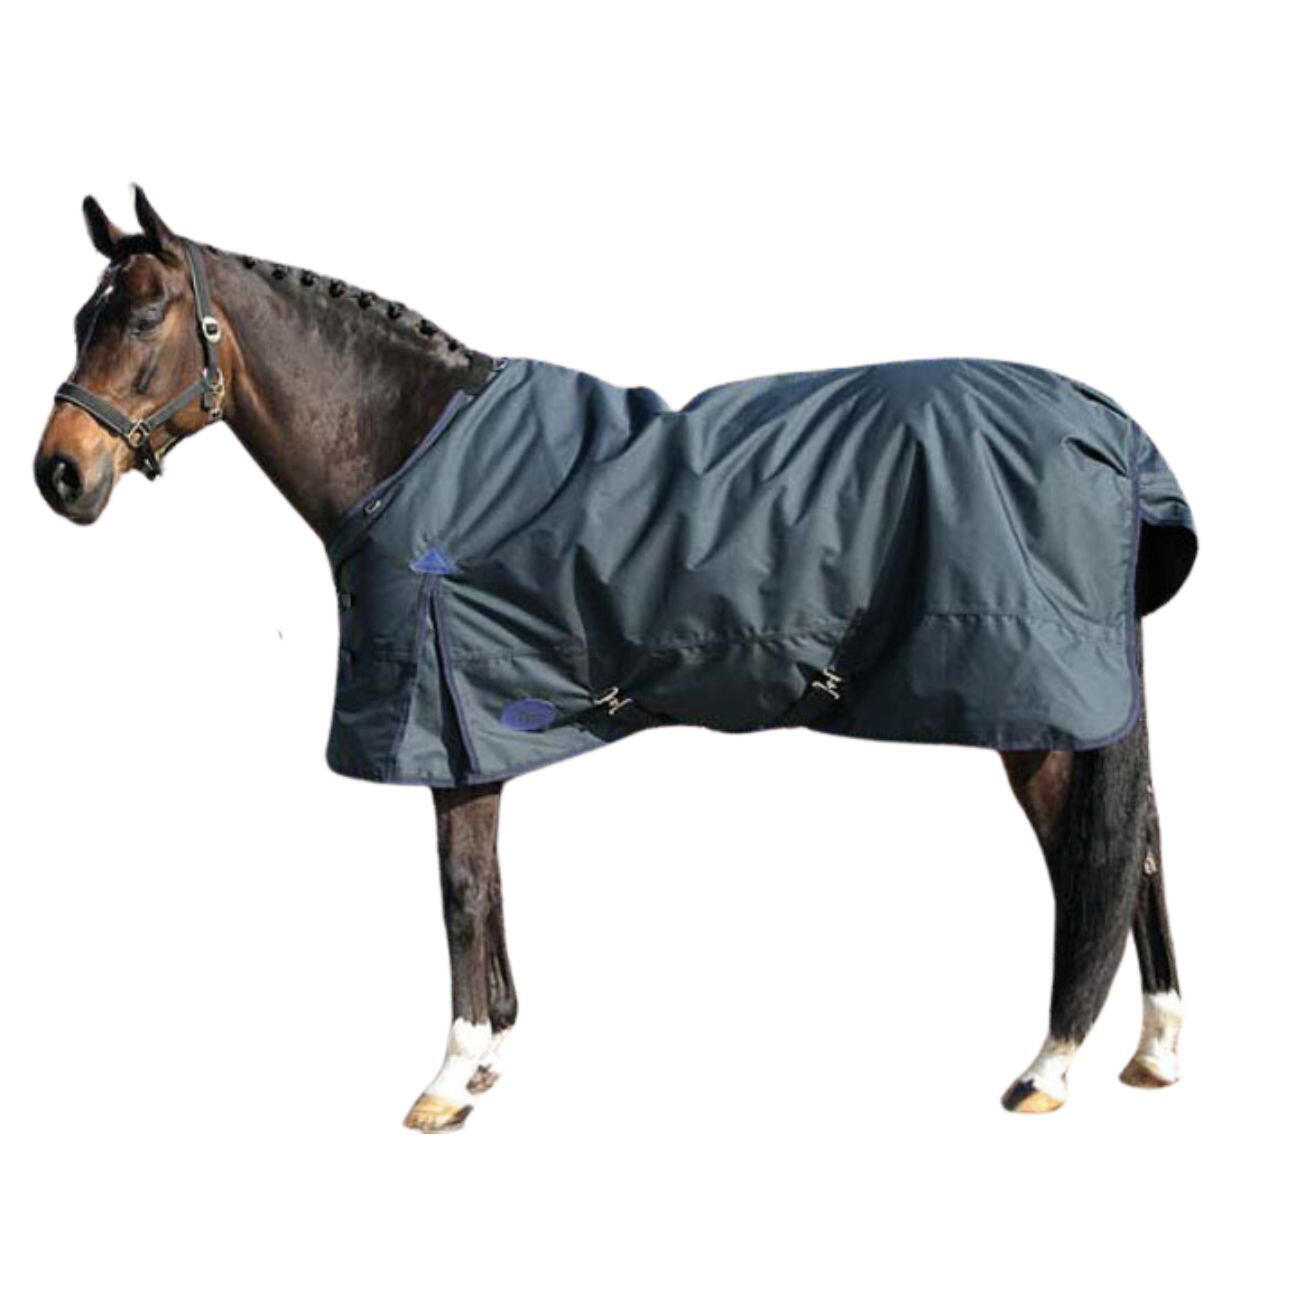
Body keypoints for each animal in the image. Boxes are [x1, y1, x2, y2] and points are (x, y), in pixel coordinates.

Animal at [34, 188, 1194, 1132]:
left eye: (142, 315)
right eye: (82, 317)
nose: (59, 474)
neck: (410, 447)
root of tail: (1108, 429)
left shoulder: (442, 724)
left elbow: (460, 894)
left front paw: (447, 1080)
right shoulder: (479, 736)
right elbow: (489, 892)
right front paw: (492, 1056)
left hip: (1038, 721)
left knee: (1092, 865)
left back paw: (1048, 1069)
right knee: (1136, 850)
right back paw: (1157, 1051)